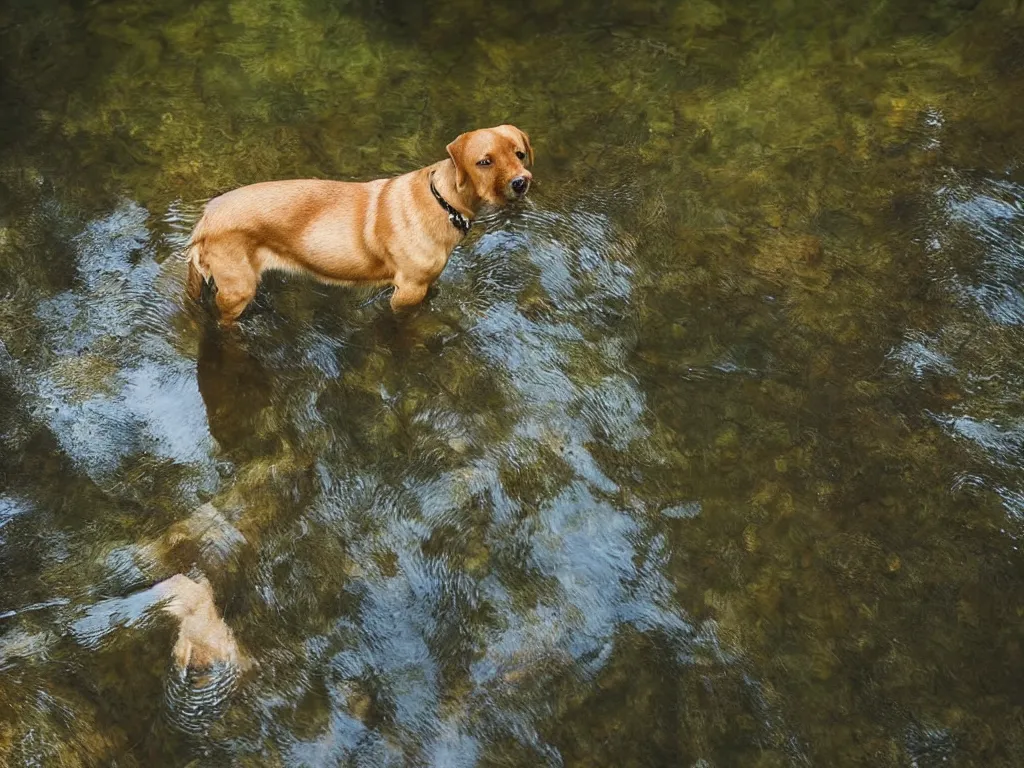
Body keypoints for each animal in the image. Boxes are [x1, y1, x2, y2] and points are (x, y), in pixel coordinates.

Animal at [186, 122, 536, 325]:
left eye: (520, 153)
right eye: (484, 162)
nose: (521, 182)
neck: (444, 200)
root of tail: (206, 219)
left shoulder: (427, 283)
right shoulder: (407, 291)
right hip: (237, 290)